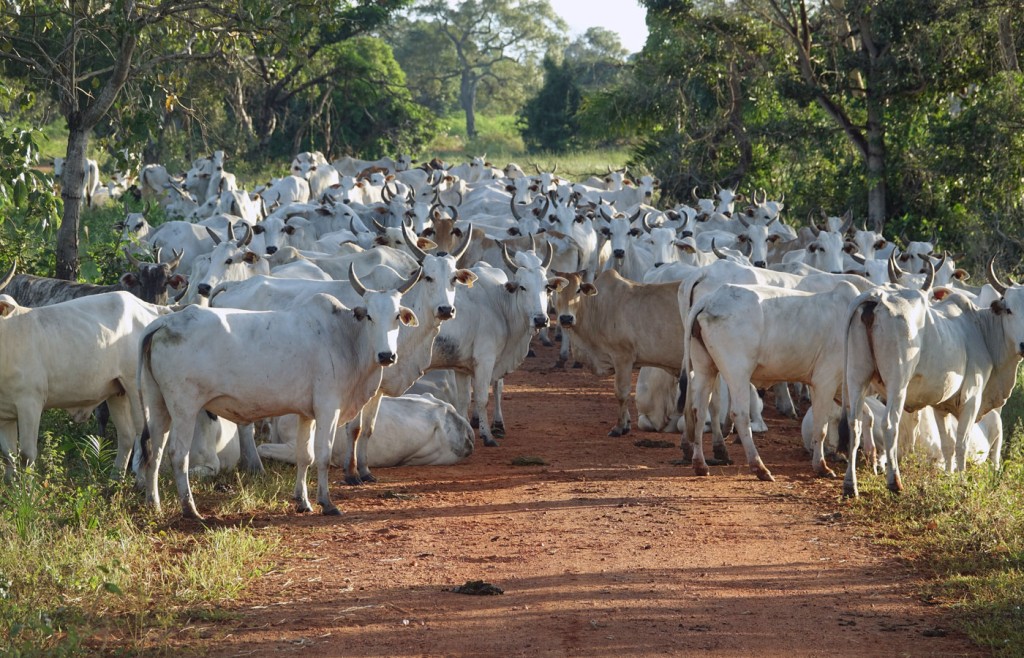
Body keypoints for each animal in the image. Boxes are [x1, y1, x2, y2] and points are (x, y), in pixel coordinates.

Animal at [138, 268, 421, 519]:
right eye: (370, 316)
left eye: (397, 316)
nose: (386, 356)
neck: (345, 338)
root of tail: (165, 321)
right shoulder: (328, 408)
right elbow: (323, 455)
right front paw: (326, 503)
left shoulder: (307, 414)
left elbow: (304, 456)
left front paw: (303, 501)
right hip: (184, 408)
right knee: (178, 454)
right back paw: (190, 509)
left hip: (158, 404)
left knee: (155, 452)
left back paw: (155, 505)